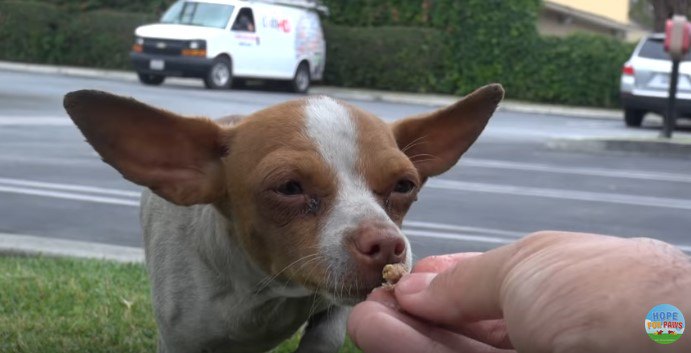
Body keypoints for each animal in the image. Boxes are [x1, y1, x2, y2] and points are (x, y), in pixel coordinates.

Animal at [63, 84, 502, 350]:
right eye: (289, 187)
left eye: (404, 185)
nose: (387, 244)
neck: (266, 291)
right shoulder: (180, 339)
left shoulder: (334, 303)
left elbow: (326, 333)